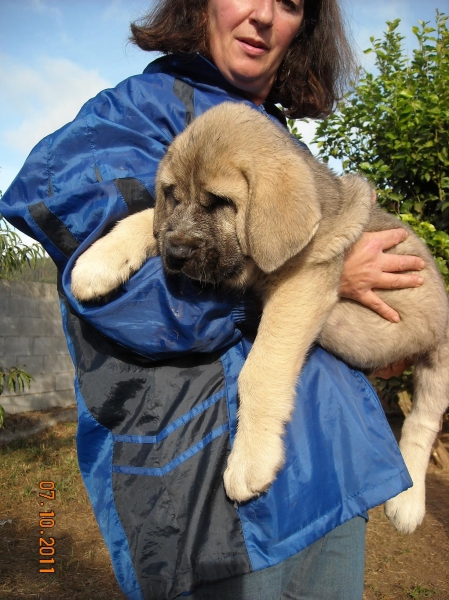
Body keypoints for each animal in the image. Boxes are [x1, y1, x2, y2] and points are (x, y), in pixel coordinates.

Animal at [72, 102, 446, 536]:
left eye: (219, 201)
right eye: (173, 196)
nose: (177, 255)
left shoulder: (302, 284)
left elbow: (260, 371)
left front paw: (251, 459)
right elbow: (150, 219)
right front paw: (99, 260)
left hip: (439, 360)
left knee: (422, 423)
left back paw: (408, 502)